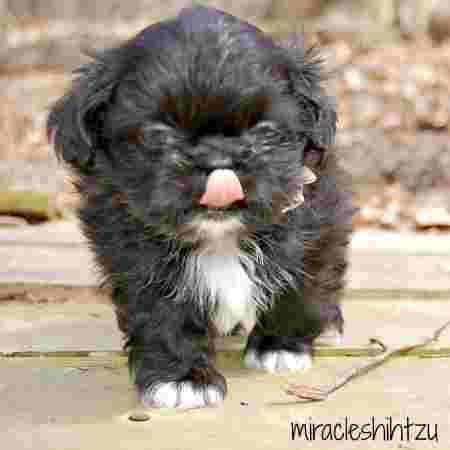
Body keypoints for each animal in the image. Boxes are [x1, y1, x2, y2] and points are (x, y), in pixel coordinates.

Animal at [48, 6, 352, 408]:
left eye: (266, 132)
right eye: (157, 136)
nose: (217, 157)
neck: (219, 237)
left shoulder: (316, 231)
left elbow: (300, 286)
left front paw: (281, 346)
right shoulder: (139, 262)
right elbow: (165, 316)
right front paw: (181, 379)